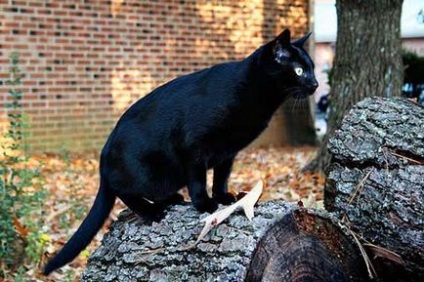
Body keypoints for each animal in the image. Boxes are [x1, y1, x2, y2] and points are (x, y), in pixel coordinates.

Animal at [44, 29, 318, 276]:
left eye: (312, 68)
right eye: (299, 71)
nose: (315, 83)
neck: (254, 95)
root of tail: (103, 157)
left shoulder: (227, 152)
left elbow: (221, 177)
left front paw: (223, 197)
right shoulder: (194, 147)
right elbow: (198, 179)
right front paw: (204, 203)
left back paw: (171, 199)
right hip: (147, 171)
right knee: (124, 190)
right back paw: (151, 210)